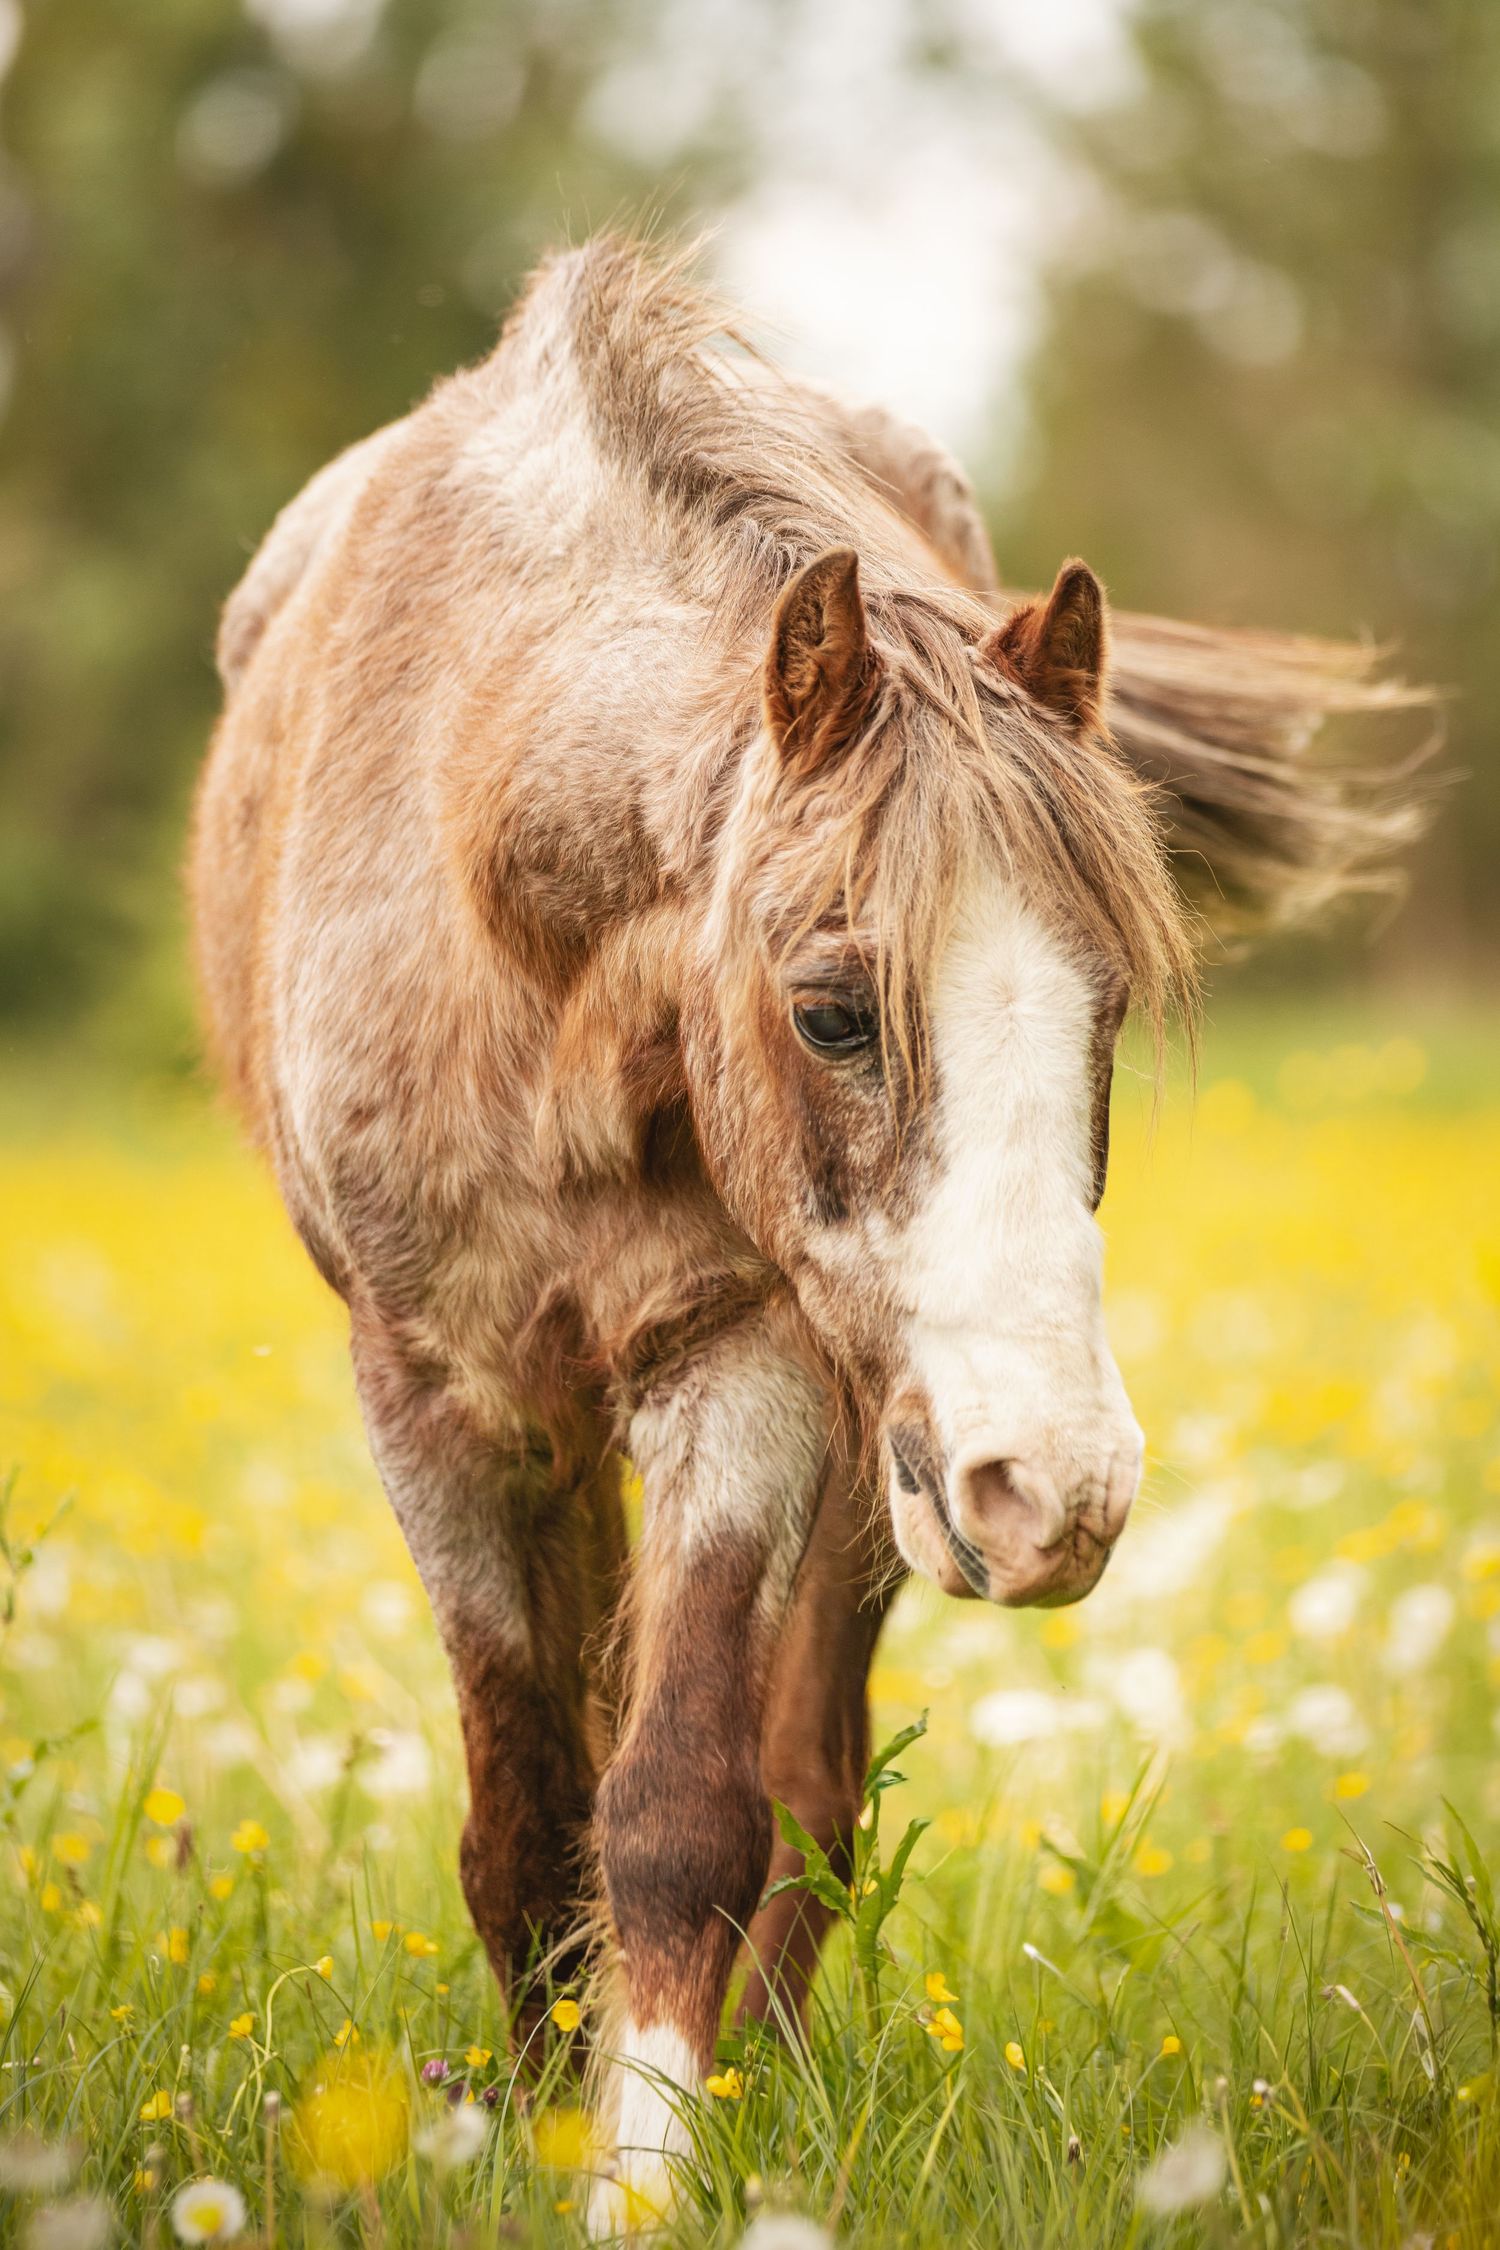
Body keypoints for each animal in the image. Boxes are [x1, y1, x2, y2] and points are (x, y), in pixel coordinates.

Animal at [189, 236, 1420, 2229]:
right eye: (834, 1012)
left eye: (1105, 1014)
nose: (1060, 1491)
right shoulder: (440, 1398)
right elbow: (525, 1810)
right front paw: (536, 2124)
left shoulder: (742, 1358)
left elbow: (685, 1804)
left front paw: (643, 2170)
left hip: (872, 1459)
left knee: (811, 1779)